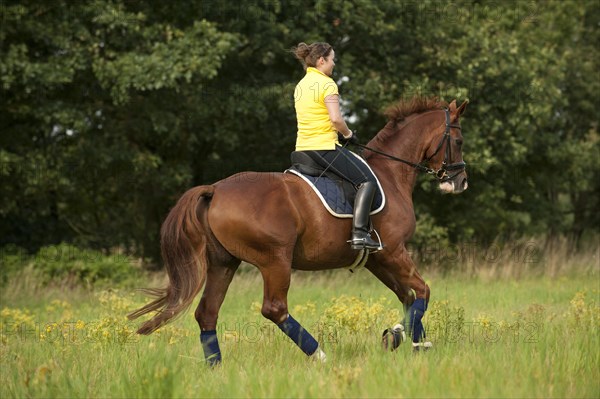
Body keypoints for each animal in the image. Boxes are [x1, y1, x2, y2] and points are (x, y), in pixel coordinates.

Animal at [129, 97, 468, 366]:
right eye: (459, 141)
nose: (460, 182)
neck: (391, 173)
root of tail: (215, 189)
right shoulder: (394, 251)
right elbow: (422, 291)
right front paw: (402, 338)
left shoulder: (376, 259)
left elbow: (408, 295)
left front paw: (410, 340)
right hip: (275, 260)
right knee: (275, 309)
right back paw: (320, 356)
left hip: (223, 262)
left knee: (207, 313)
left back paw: (216, 368)